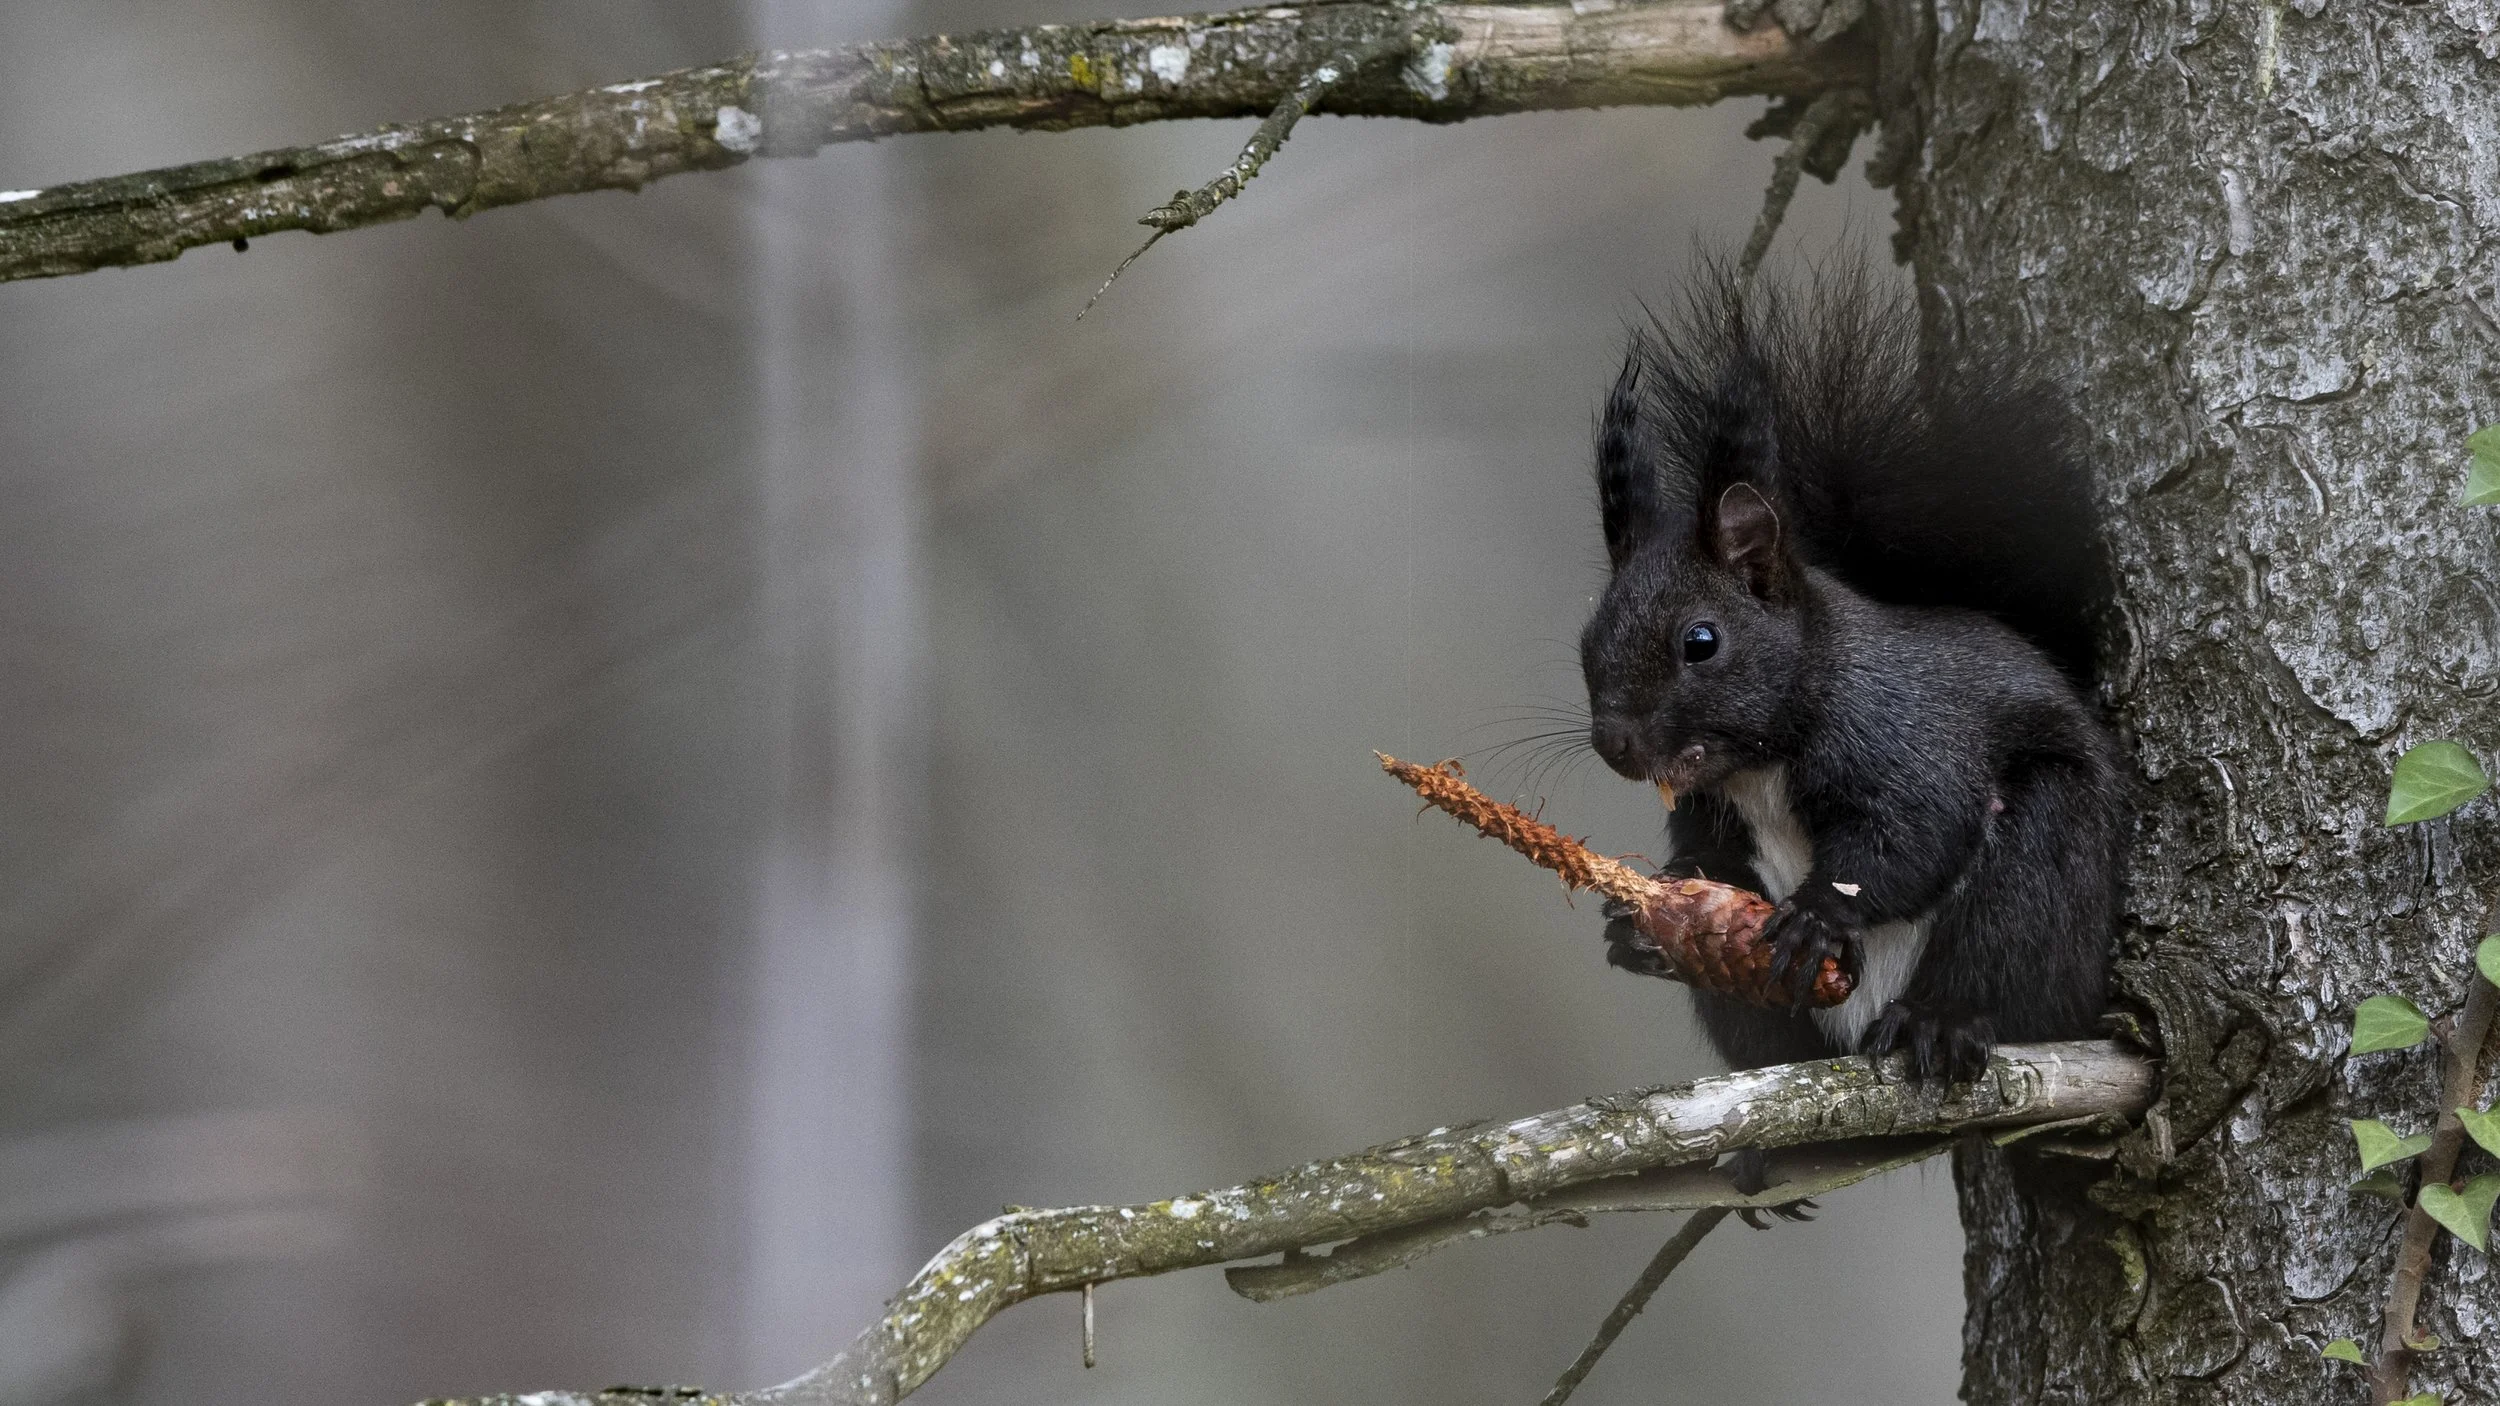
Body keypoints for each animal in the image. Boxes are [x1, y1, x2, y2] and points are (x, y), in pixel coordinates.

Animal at [1580, 260, 2129, 1111]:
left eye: (1700, 643)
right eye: (1586, 641)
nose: (1616, 743)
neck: (1762, 763)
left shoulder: (1903, 736)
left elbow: (1911, 833)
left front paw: (1816, 914)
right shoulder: (1711, 814)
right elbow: (1710, 859)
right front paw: (1642, 919)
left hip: (2047, 866)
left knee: (2008, 962)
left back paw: (1941, 1022)